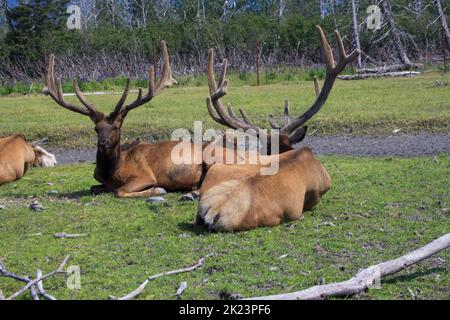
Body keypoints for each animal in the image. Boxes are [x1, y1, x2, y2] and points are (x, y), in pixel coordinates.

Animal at [44, 42, 206, 198]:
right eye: (96, 128)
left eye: (116, 127)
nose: (103, 143)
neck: (112, 171)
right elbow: (93, 188)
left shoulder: (146, 175)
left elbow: (119, 191)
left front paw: (157, 190)